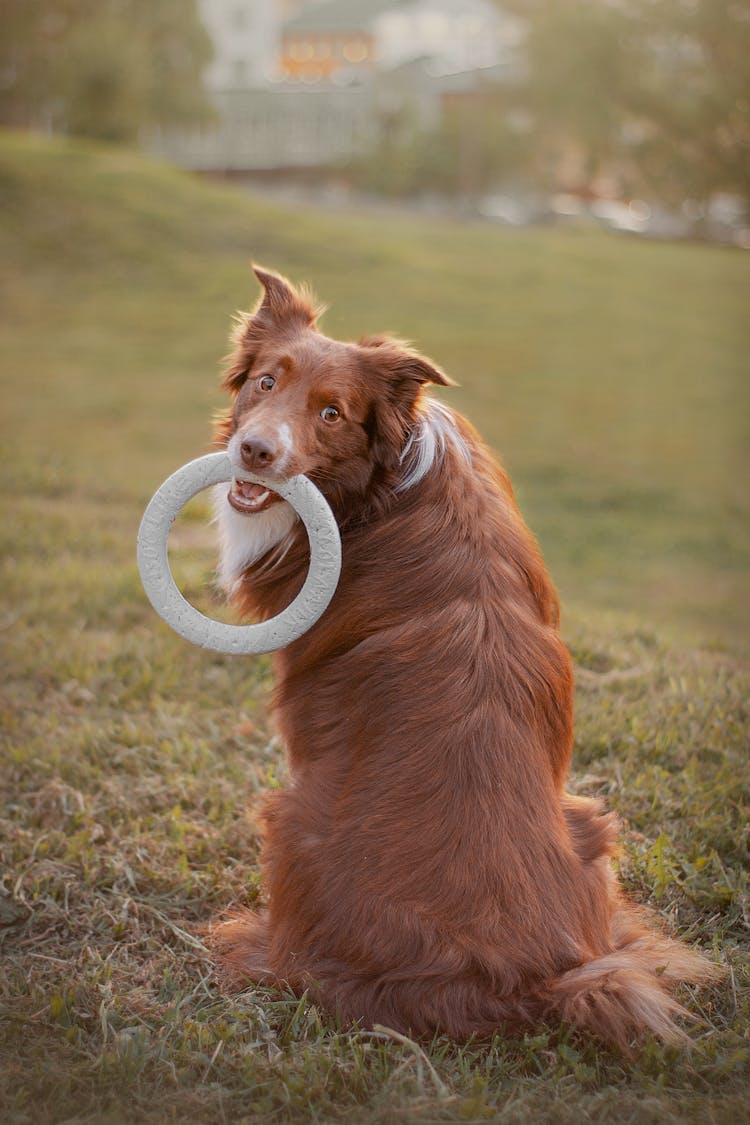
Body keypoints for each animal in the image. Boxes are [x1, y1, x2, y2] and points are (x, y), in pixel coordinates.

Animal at [210, 267, 715, 1048]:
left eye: (332, 413)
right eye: (266, 381)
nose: (255, 452)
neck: (383, 487)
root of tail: (531, 986)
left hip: (289, 819)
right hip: (592, 825)